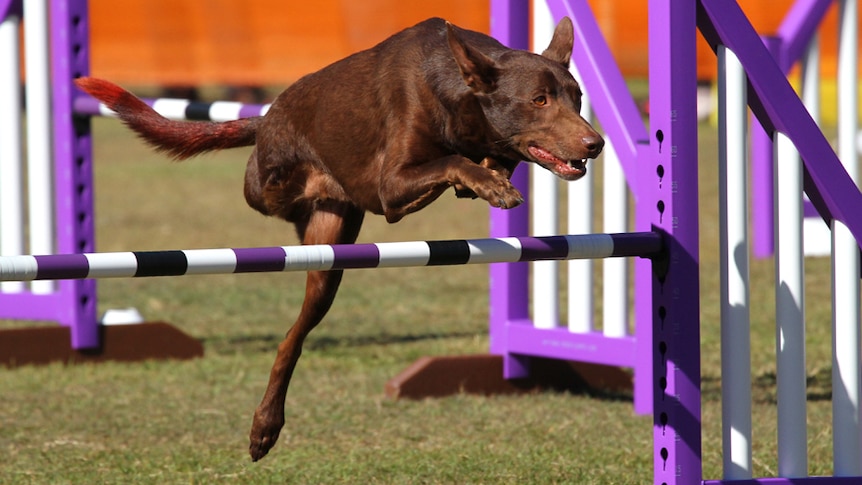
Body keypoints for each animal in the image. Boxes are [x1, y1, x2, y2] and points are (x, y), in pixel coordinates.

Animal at [74, 16, 604, 462]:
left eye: (577, 98)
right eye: (539, 100)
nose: (595, 144)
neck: (456, 91)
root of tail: (268, 113)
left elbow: (488, 159)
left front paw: (490, 176)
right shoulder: (391, 187)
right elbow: (451, 161)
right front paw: (487, 181)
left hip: (328, 262)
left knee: (292, 338)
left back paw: (266, 424)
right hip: (267, 187)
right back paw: (264, 428)